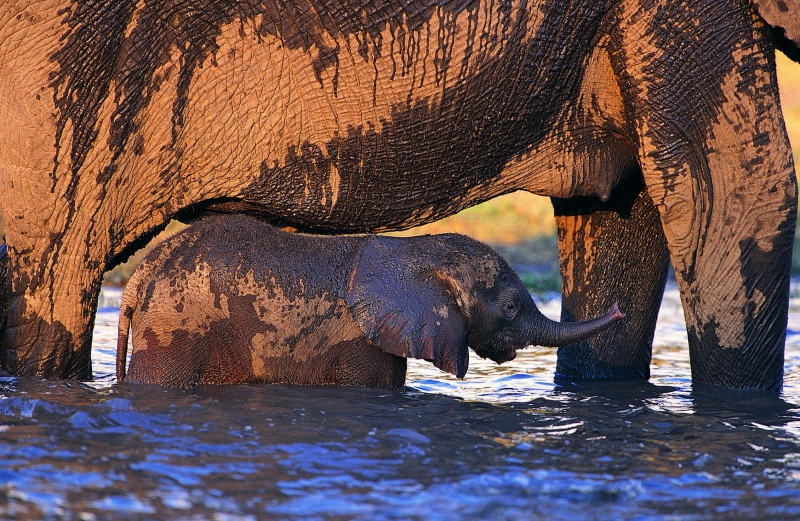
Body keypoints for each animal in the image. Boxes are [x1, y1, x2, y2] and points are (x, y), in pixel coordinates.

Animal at [115, 213, 620, 388]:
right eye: (511, 307)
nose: (619, 309)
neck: (417, 250)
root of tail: (139, 277)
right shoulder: (360, 341)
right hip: (175, 326)